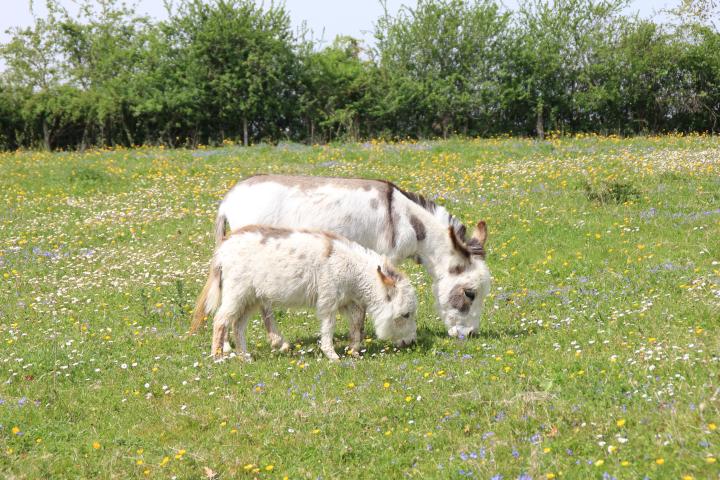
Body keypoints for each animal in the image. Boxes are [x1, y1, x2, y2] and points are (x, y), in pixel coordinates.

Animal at [191, 225, 416, 360]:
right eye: (405, 315)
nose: (411, 343)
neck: (351, 268)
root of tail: (224, 247)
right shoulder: (328, 299)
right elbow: (329, 326)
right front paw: (332, 356)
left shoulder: (345, 301)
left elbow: (357, 322)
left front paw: (353, 350)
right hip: (236, 293)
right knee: (220, 320)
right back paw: (218, 357)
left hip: (250, 298)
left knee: (237, 325)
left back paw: (245, 357)